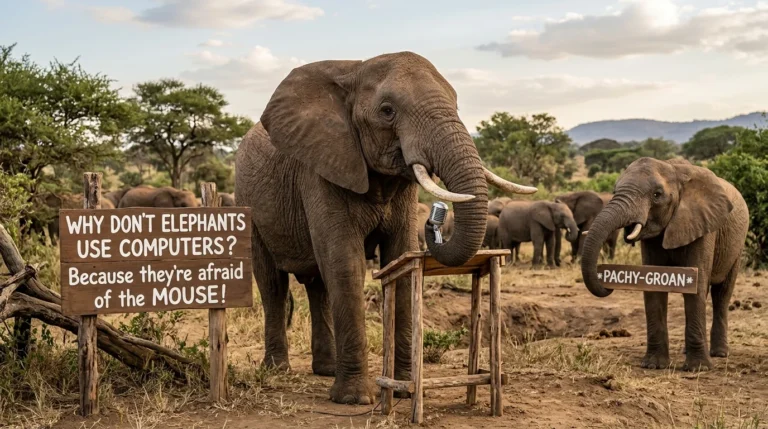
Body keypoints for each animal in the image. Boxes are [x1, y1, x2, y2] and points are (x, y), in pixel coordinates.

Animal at [235, 52, 536, 405]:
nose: (434, 219)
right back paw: (278, 369)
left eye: (457, 104)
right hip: (249, 204)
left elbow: (400, 258)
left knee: (319, 287)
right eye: (387, 111)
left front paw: (404, 387)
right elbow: (345, 262)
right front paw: (354, 399)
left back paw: (325, 369)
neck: (354, 69)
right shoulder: (322, 169)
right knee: (273, 284)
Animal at [581, 158, 749, 371]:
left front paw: (698, 368)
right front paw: (653, 365)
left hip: (737, 245)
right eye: (614, 190)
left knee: (722, 294)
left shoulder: (704, 226)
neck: (674, 169)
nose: (607, 285)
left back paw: (719, 353)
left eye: (657, 195)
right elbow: (653, 284)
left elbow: (696, 288)